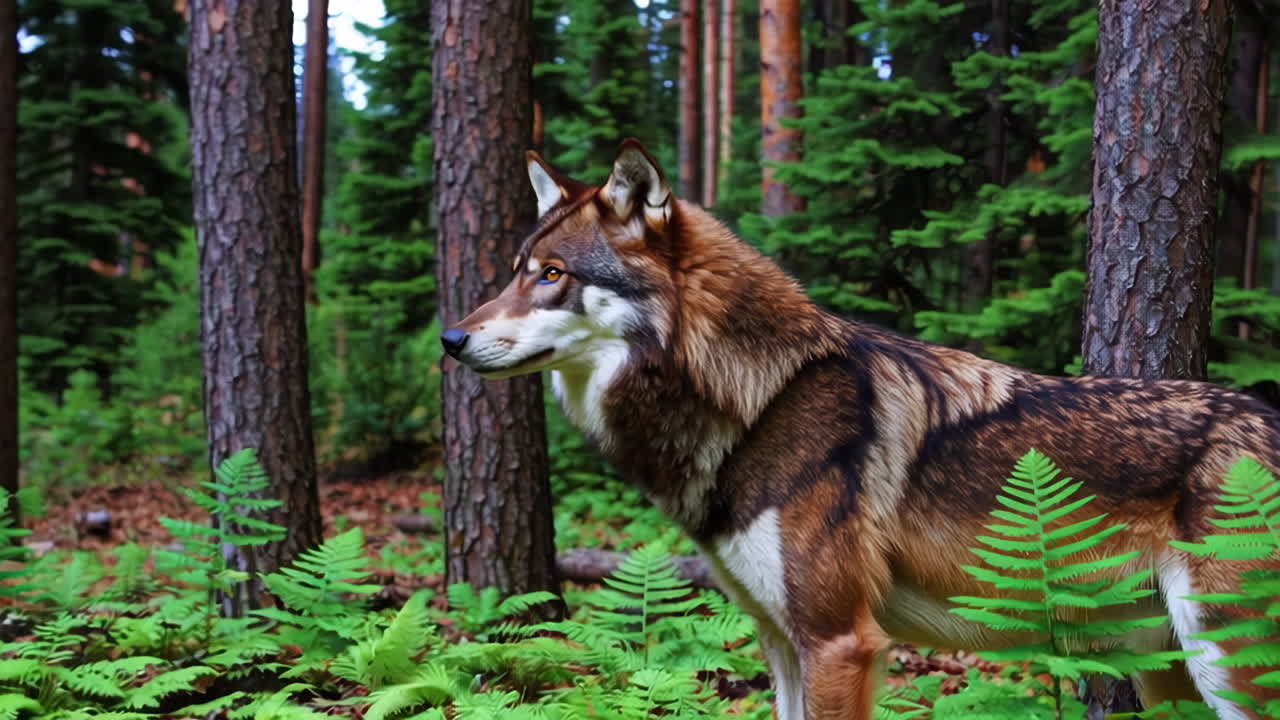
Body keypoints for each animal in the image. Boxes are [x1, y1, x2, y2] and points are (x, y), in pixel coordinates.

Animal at [440, 140, 1280, 720]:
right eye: (515, 270)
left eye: (553, 275)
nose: (450, 338)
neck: (764, 399)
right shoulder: (781, 643)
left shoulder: (839, 641)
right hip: (1169, 671)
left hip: (1226, 665)